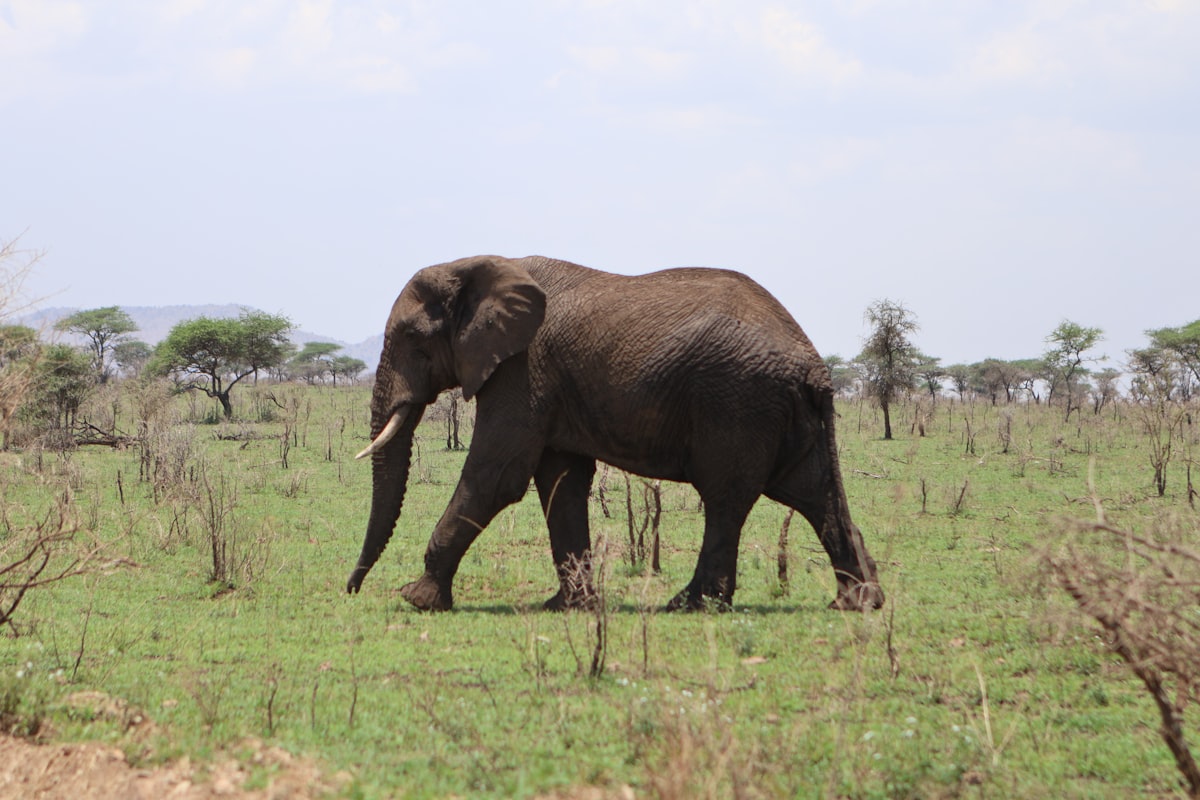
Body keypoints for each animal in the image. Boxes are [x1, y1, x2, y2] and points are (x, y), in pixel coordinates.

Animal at [347, 255, 883, 612]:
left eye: (412, 338)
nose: (351, 589)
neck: (476, 265)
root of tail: (814, 364)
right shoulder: (547, 382)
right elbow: (562, 481)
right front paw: (568, 606)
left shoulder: (523, 369)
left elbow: (497, 475)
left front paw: (417, 599)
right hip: (782, 413)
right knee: (813, 493)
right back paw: (858, 603)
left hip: (738, 402)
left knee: (726, 498)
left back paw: (689, 605)